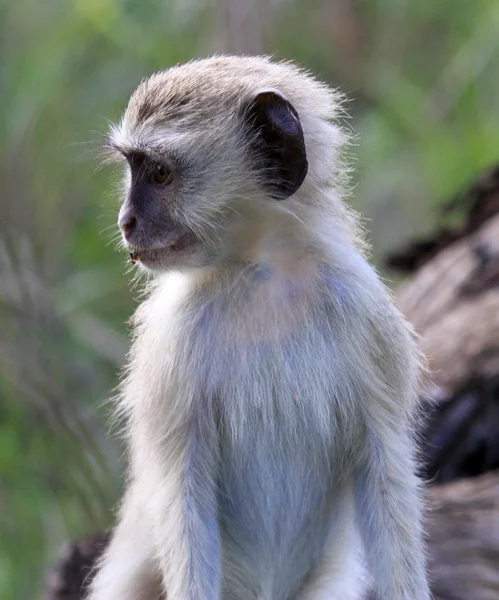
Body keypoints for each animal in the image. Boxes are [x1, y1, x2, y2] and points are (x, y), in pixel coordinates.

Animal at [88, 55, 432, 600]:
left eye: (159, 173)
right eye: (133, 170)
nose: (127, 222)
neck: (263, 271)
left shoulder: (367, 315)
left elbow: (384, 470)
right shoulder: (172, 337)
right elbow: (184, 495)